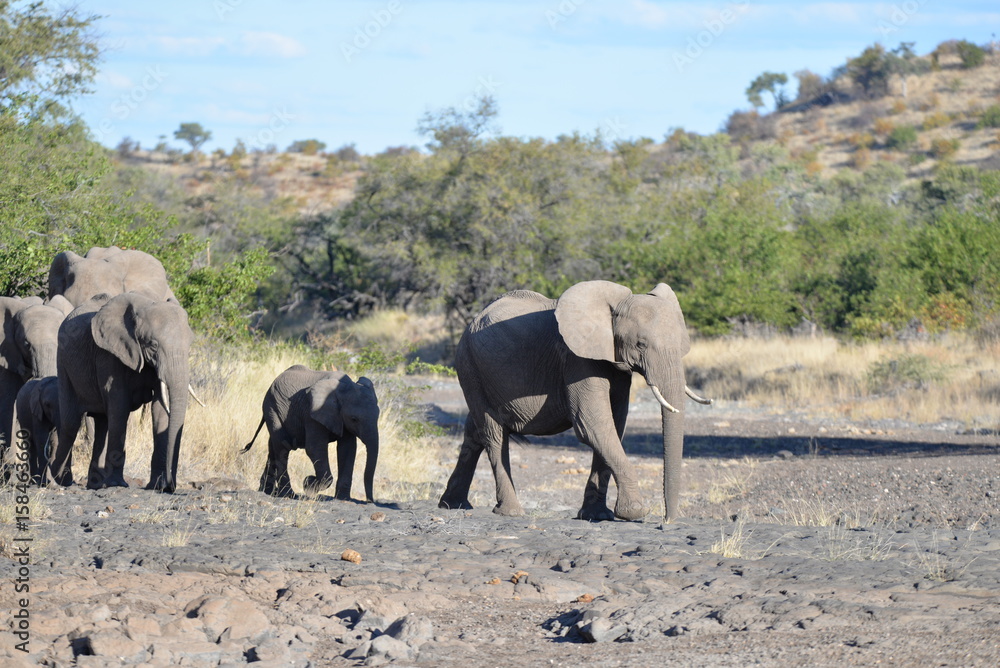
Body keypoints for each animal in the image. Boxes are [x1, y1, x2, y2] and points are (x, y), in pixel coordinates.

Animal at [49, 292, 193, 492]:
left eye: (190, 345)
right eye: (153, 345)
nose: (171, 487)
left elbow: (160, 410)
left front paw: (156, 486)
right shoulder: (110, 355)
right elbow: (119, 407)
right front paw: (117, 484)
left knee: (102, 423)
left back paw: (94, 485)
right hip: (63, 363)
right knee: (71, 423)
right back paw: (60, 479)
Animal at [243, 365, 380, 501]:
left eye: (378, 415)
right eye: (354, 419)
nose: (370, 501)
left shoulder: (342, 420)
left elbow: (347, 450)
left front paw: (343, 499)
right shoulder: (312, 413)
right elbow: (314, 448)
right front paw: (308, 484)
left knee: (273, 448)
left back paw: (266, 491)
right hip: (273, 408)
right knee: (282, 448)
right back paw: (287, 495)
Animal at [438, 280, 711, 522]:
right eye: (641, 344)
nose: (667, 521)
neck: (614, 305)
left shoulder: (615, 364)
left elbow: (615, 424)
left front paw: (597, 516)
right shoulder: (576, 359)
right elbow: (593, 424)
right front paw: (635, 512)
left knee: (474, 431)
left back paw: (453, 504)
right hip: (469, 365)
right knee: (493, 433)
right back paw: (510, 512)